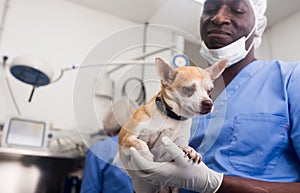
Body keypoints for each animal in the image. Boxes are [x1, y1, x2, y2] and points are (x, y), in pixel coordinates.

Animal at [118, 56, 226, 192]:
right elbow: (138, 142)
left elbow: (181, 146)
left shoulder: (178, 142)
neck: (172, 118)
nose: (209, 103)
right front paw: (146, 156)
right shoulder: (127, 138)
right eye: (188, 89)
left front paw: (191, 150)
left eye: (209, 91)